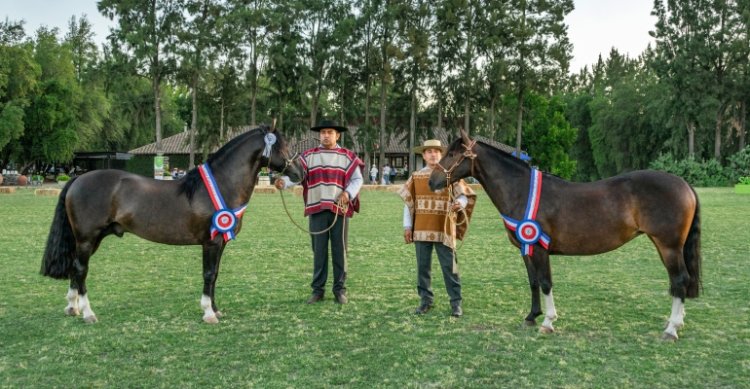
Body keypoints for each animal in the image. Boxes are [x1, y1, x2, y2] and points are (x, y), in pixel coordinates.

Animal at [41, 126, 304, 322]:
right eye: (282, 146)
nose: (299, 173)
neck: (221, 184)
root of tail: (78, 179)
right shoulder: (211, 242)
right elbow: (209, 274)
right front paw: (208, 313)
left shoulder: (220, 243)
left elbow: (215, 275)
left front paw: (216, 309)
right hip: (87, 239)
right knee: (81, 270)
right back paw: (88, 313)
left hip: (88, 241)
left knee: (75, 269)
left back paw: (73, 308)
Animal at [432, 129, 704, 338]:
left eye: (453, 154)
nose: (432, 181)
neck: (521, 190)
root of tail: (684, 184)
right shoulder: (526, 249)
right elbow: (533, 282)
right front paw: (531, 316)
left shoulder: (539, 248)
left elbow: (545, 282)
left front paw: (548, 322)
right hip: (665, 246)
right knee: (680, 280)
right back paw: (676, 323)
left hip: (669, 246)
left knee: (680, 280)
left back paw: (671, 329)